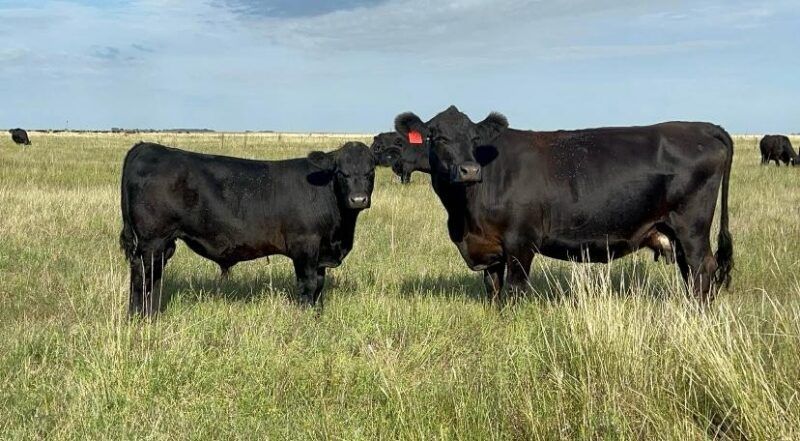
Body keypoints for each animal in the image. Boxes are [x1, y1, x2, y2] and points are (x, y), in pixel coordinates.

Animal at [120, 141, 376, 317]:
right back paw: (139, 318)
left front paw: (317, 314)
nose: (358, 199)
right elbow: (308, 284)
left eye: (371, 171)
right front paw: (306, 318)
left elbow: (320, 286)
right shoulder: (305, 245)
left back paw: (150, 315)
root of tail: (147, 147)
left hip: (162, 244)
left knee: (153, 279)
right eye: (341, 172)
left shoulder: (320, 251)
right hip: (152, 241)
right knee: (142, 278)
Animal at [393, 106, 733, 303]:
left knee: (702, 268)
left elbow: (514, 291)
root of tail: (702, 127)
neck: (463, 217)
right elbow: (493, 290)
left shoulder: (520, 242)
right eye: (436, 137)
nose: (470, 170)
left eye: (475, 139)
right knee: (690, 272)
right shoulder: (490, 249)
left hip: (692, 227)